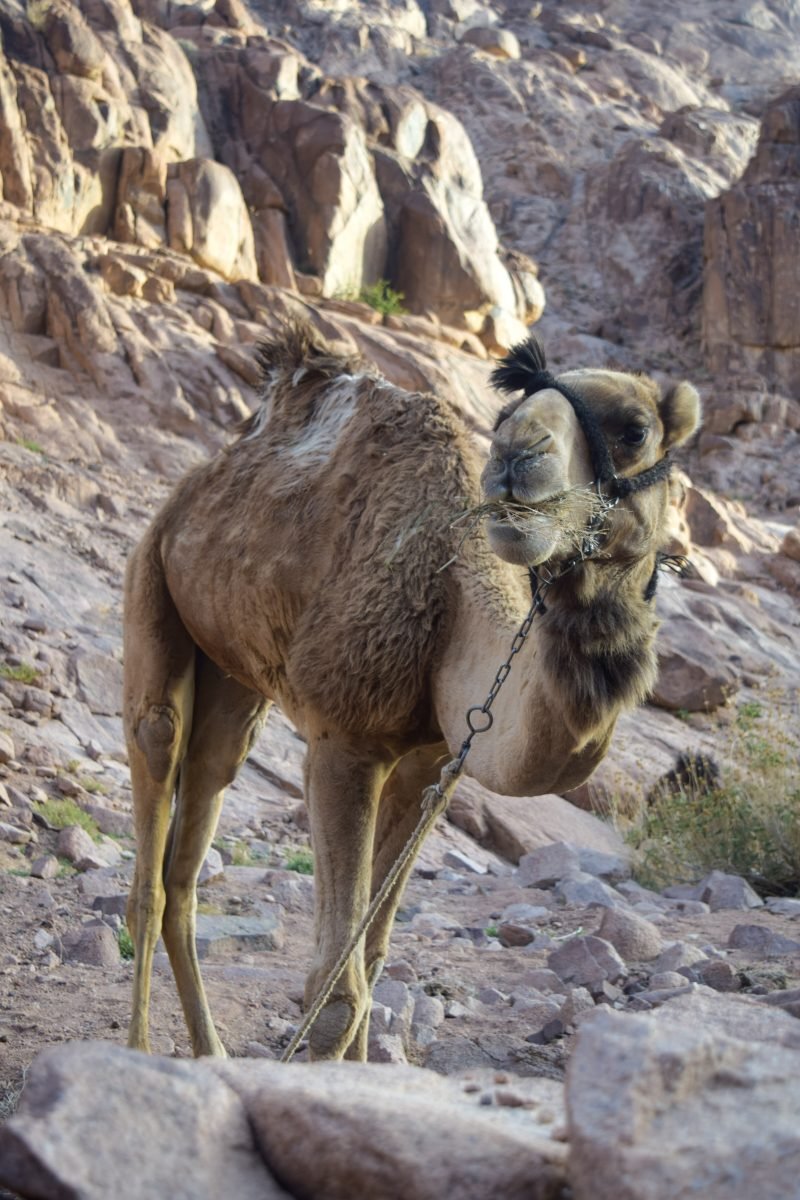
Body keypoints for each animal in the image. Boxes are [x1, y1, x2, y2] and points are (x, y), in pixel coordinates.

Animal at [123, 323, 700, 1061]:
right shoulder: (343, 738)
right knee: (154, 794)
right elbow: (336, 993)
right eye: (506, 419)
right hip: (151, 579)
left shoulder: (430, 758)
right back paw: (139, 1051)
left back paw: (211, 1052)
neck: (452, 605)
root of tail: (197, 482)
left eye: (635, 429)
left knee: (198, 821)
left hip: (231, 671)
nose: (516, 457)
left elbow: (369, 959)